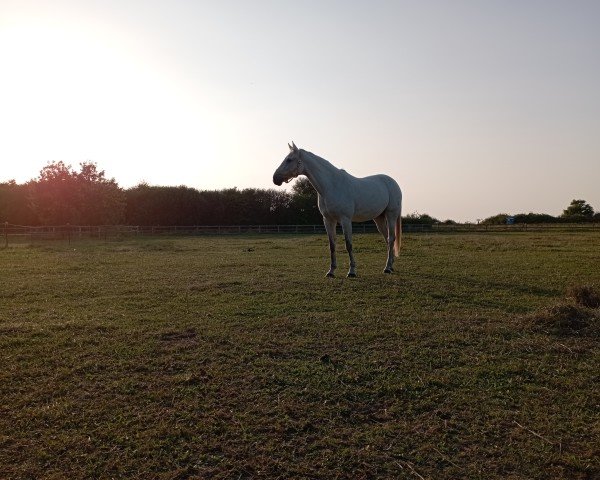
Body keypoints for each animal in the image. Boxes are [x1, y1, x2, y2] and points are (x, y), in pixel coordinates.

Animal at [274, 142, 404, 278]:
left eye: (289, 160)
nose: (275, 178)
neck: (331, 186)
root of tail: (393, 183)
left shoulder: (345, 220)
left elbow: (348, 244)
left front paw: (351, 271)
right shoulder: (328, 220)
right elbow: (332, 245)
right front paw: (331, 271)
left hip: (391, 215)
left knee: (391, 238)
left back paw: (387, 268)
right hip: (379, 218)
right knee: (387, 239)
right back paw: (390, 265)